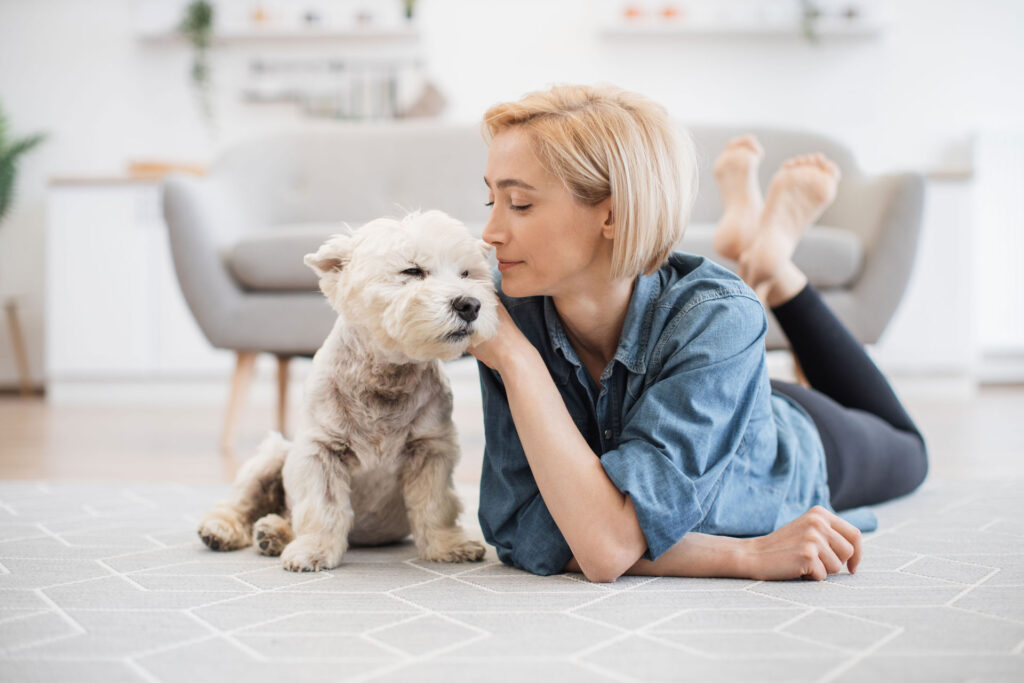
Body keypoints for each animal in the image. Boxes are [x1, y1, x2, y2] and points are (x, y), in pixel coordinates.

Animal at [196, 211, 499, 573]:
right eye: (411, 271)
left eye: (466, 273)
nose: (470, 304)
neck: (386, 376)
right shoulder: (321, 450)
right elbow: (322, 507)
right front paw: (313, 551)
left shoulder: (431, 449)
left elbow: (435, 504)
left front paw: (449, 545)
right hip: (272, 457)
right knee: (242, 503)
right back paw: (224, 530)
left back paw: (273, 533)